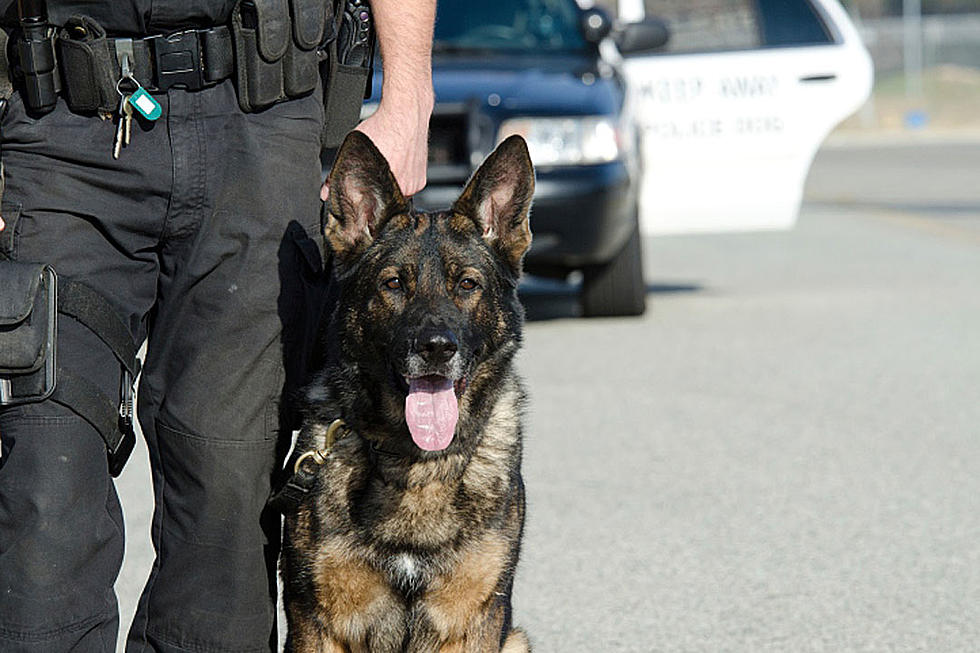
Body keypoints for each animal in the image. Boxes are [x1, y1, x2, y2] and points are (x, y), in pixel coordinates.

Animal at [280, 130, 532, 648]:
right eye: (394, 283)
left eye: (467, 284)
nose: (436, 347)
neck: (414, 463)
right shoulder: (316, 621)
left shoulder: (476, 621)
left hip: (517, 640)